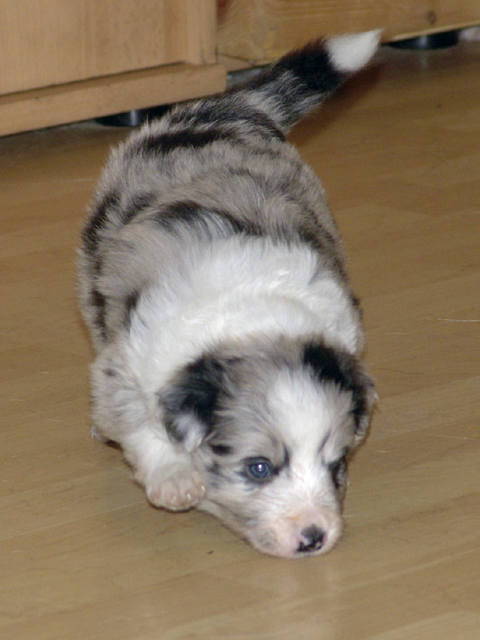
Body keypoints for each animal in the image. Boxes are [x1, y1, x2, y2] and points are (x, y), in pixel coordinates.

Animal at [78, 30, 379, 558]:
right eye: (258, 468)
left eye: (336, 464)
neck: (255, 318)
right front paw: (175, 479)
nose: (314, 537)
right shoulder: (129, 357)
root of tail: (227, 106)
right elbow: (137, 420)